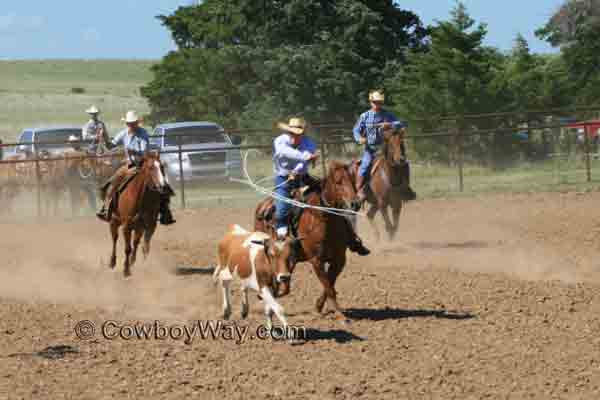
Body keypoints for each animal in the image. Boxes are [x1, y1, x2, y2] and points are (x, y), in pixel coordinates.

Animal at [254, 161, 360, 320]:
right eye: (338, 182)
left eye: (353, 180)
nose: (355, 204)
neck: (323, 220)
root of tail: (262, 206)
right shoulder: (316, 261)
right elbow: (328, 286)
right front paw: (340, 315)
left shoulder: (339, 260)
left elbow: (330, 283)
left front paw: (319, 306)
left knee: (285, 282)